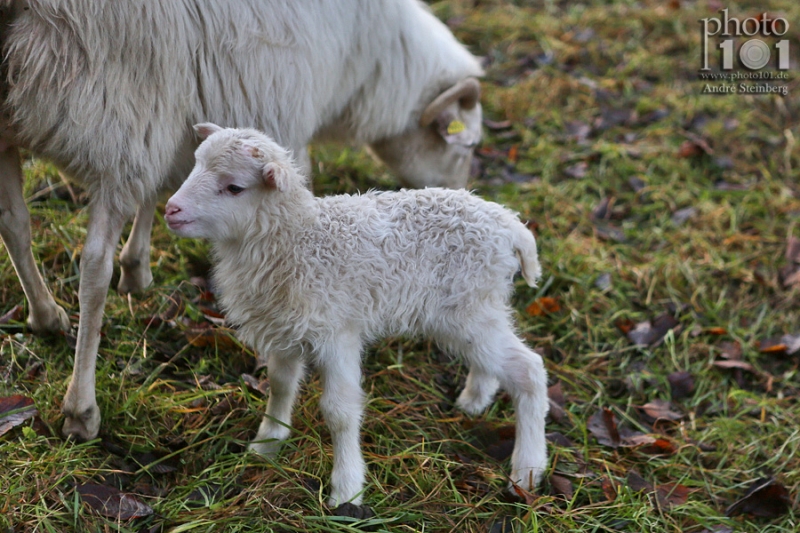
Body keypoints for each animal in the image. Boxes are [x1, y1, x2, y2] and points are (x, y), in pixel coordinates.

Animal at [0, 0, 484, 440]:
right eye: (466, 147)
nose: (462, 196)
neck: (372, 64)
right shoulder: (266, 112)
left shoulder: (177, 103)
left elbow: (162, 190)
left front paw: (137, 266)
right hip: (114, 106)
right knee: (93, 265)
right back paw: (81, 409)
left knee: (15, 225)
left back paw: (45, 316)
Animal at [162, 122, 552, 510]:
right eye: (196, 165)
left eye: (234, 187)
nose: (170, 210)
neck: (297, 239)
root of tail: (510, 225)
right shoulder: (285, 328)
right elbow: (280, 383)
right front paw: (267, 443)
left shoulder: (337, 333)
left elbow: (339, 411)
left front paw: (347, 490)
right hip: (475, 310)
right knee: (493, 359)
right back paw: (474, 400)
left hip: (469, 306)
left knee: (529, 369)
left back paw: (527, 471)